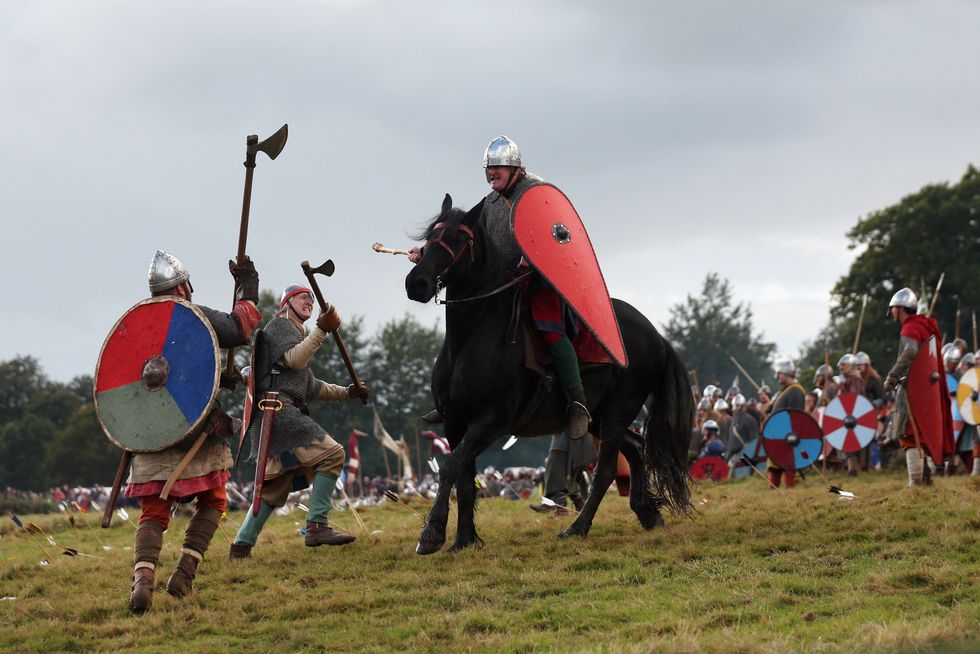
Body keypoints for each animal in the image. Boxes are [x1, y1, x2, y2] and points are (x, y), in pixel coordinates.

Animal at [402, 195, 692, 552]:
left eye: (459, 239)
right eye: (430, 237)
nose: (417, 283)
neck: (473, 335)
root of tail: (656, 335)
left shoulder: (489, 423)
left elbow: (449, 468)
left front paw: (432, 534)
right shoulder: (456, 423)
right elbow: (465, 480)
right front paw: (464, 540)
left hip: (617, 410)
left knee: (606, 470)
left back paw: (578, 528)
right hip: (599, 415)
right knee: (636, 448)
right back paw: (646, 513)